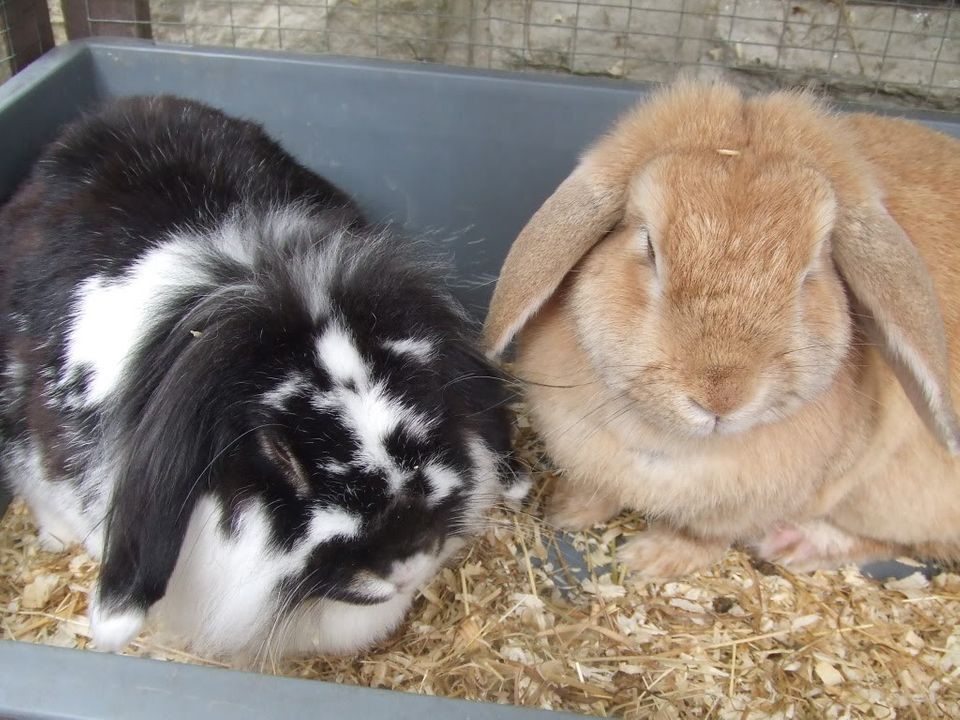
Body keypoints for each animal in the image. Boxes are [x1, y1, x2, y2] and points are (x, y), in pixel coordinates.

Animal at [484, 80, 960, 580]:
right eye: (649, 247)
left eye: (811, 271)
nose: (721, 398)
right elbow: (598, 490)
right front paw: (565, 511)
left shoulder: (743, 509)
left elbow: (703, 536)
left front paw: (649, 559)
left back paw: (795, 543)